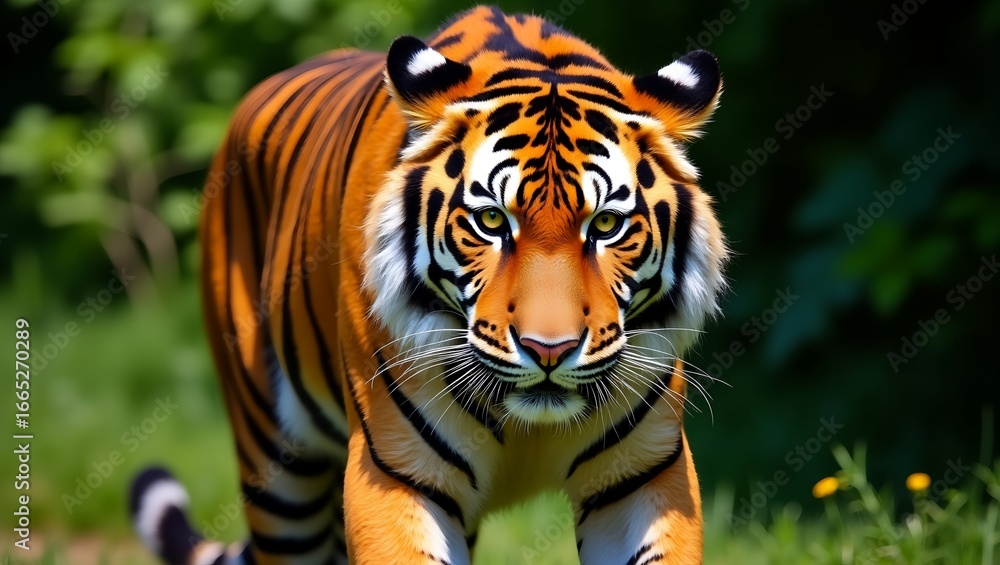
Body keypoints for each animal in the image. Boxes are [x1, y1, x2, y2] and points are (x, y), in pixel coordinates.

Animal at [130, 6, 727, 564]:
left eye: (605, 225)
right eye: (491, 221)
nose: (548, 351)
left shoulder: (644, 475)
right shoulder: (394, 472)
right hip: (275, 469)